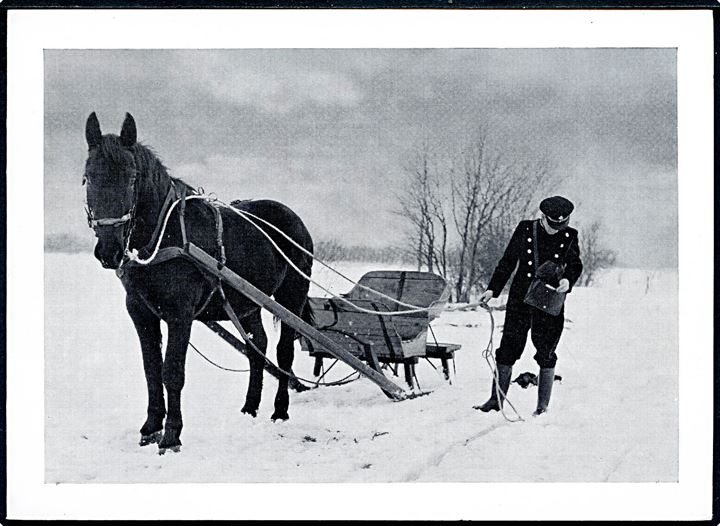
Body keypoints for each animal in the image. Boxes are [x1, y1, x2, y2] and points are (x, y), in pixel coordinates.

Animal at [83, 112, 314, 454]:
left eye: (132, 178)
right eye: (89, 177)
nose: (109, 249)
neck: (163, 236)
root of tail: (293, 219)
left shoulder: (180, 314)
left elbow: (172, 372)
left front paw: (171, 436)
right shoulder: (140, 311)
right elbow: (151, 370)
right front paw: (150, 428)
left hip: (291, 297)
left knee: (284, 352)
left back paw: (280, 411)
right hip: (248, 303)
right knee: (256, 346)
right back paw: (249, 408)